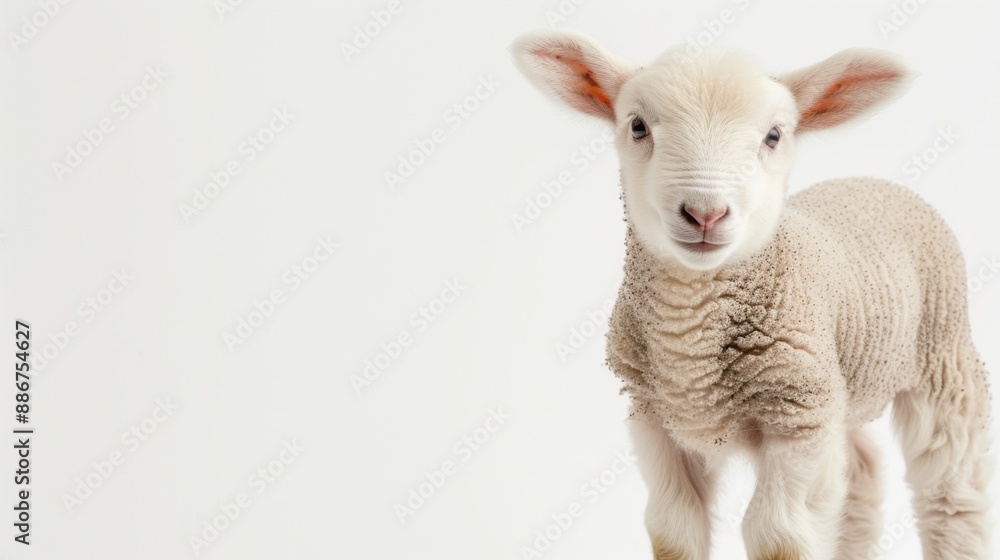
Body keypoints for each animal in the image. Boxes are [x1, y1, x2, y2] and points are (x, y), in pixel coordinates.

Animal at [510, 30, 993, 560]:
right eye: (637, 126)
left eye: (774, 136)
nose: (705, 214)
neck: (690, 337)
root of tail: (870, 182)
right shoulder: (656, 419)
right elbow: (673, 532)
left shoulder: (799, 420)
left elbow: (778, 536)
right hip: (845, 384)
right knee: (861, 472)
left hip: (942, 355)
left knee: (951, 490)